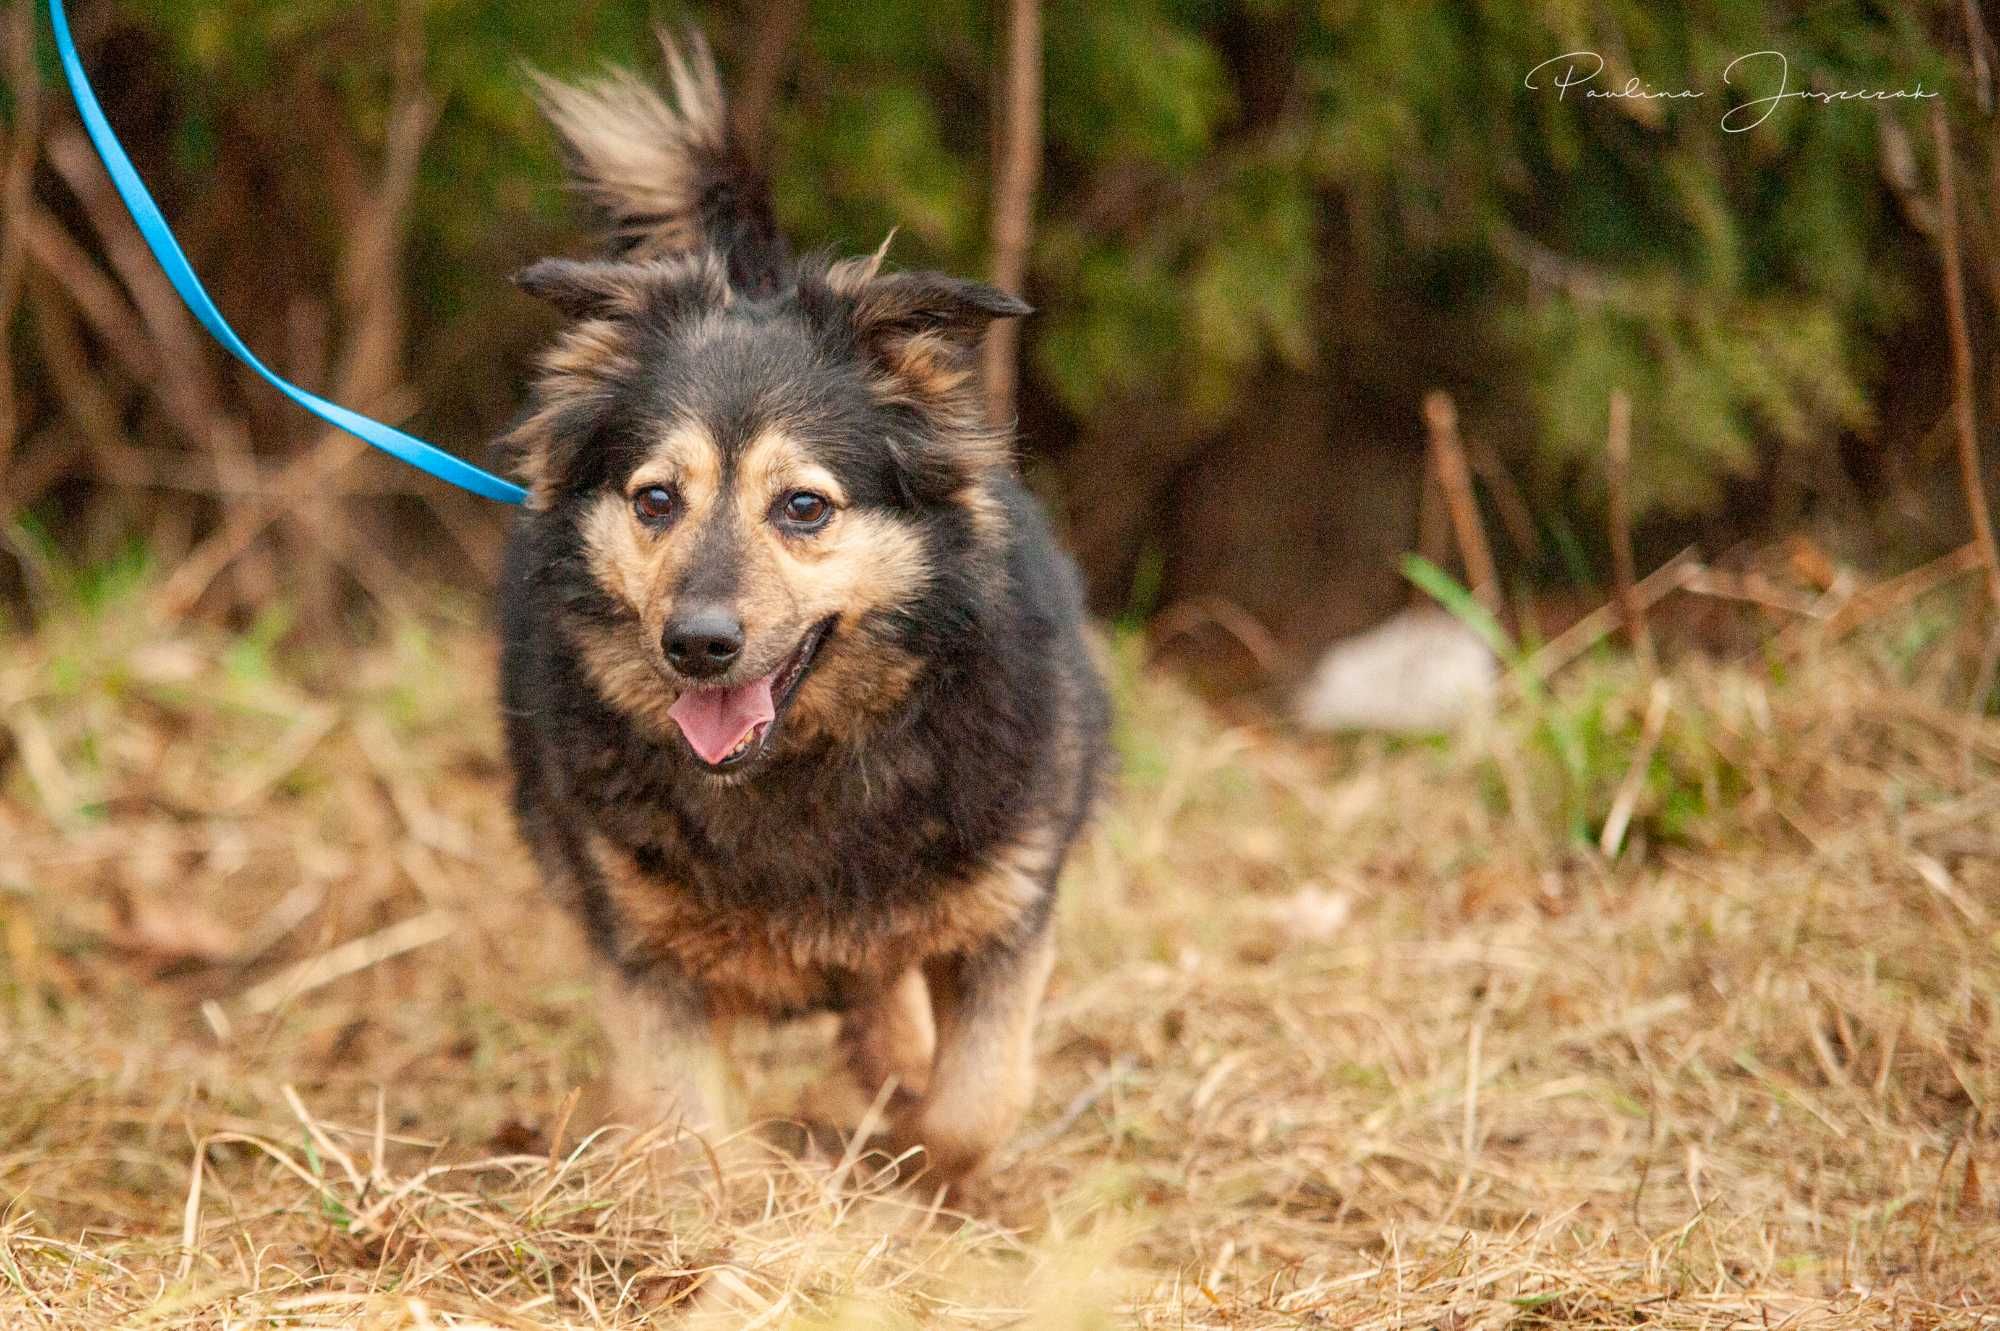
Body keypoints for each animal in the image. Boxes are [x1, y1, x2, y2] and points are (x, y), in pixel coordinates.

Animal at [490, 28, 1104, 1175]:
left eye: (804, 506)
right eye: (655, 499)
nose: (696, 644)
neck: (797, 770)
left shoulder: (1010, 906)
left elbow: (975, 1104)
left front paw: (911, 1149)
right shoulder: (644, 952)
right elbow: (689, 1130)